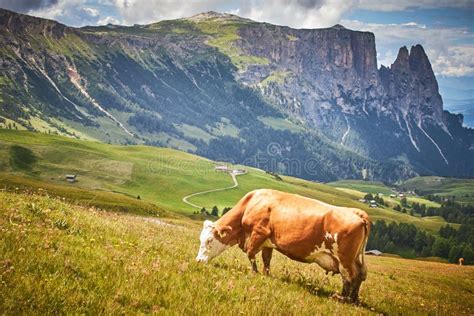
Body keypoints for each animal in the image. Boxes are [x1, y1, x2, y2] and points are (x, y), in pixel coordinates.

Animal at [195, 189, 370, 302]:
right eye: (200, 239)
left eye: (209, 240)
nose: (198, 260)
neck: (251, 204)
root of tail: (356, 212)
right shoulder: (267, 241)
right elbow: (266, 259)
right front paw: (265, 274)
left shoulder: (259, 233)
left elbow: (251, 254)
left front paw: (254, 273)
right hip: (355, 259)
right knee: (360, 275)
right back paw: (354, 299)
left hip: (344, 259)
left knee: (349, 277)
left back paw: (342, 298)